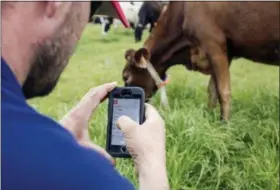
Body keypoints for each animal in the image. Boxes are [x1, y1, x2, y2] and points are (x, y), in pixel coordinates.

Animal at [121, 1, 278, 120]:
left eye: (126, 77)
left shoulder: (214, 45)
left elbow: (223, 91)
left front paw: (225, 125)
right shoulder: (223, 54)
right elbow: (212, 90)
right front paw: (210, 117)